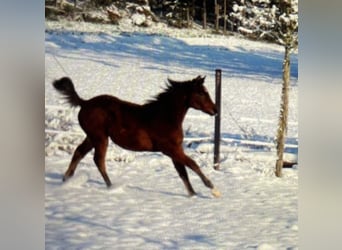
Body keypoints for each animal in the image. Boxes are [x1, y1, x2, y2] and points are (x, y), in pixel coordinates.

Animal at [52, 75, 220, 197]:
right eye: (201, 93)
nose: (215, 110)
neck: (165, 116)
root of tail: (84, 103)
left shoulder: (175, 150)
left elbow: (183, 172)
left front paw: (193, 195)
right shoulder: (170, 149)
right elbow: (192, 164)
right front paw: (211, 186)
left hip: (92, 137)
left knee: (79, 152)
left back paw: (66, 180)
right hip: (100, 137)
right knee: (98, 160)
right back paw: (111, 187)